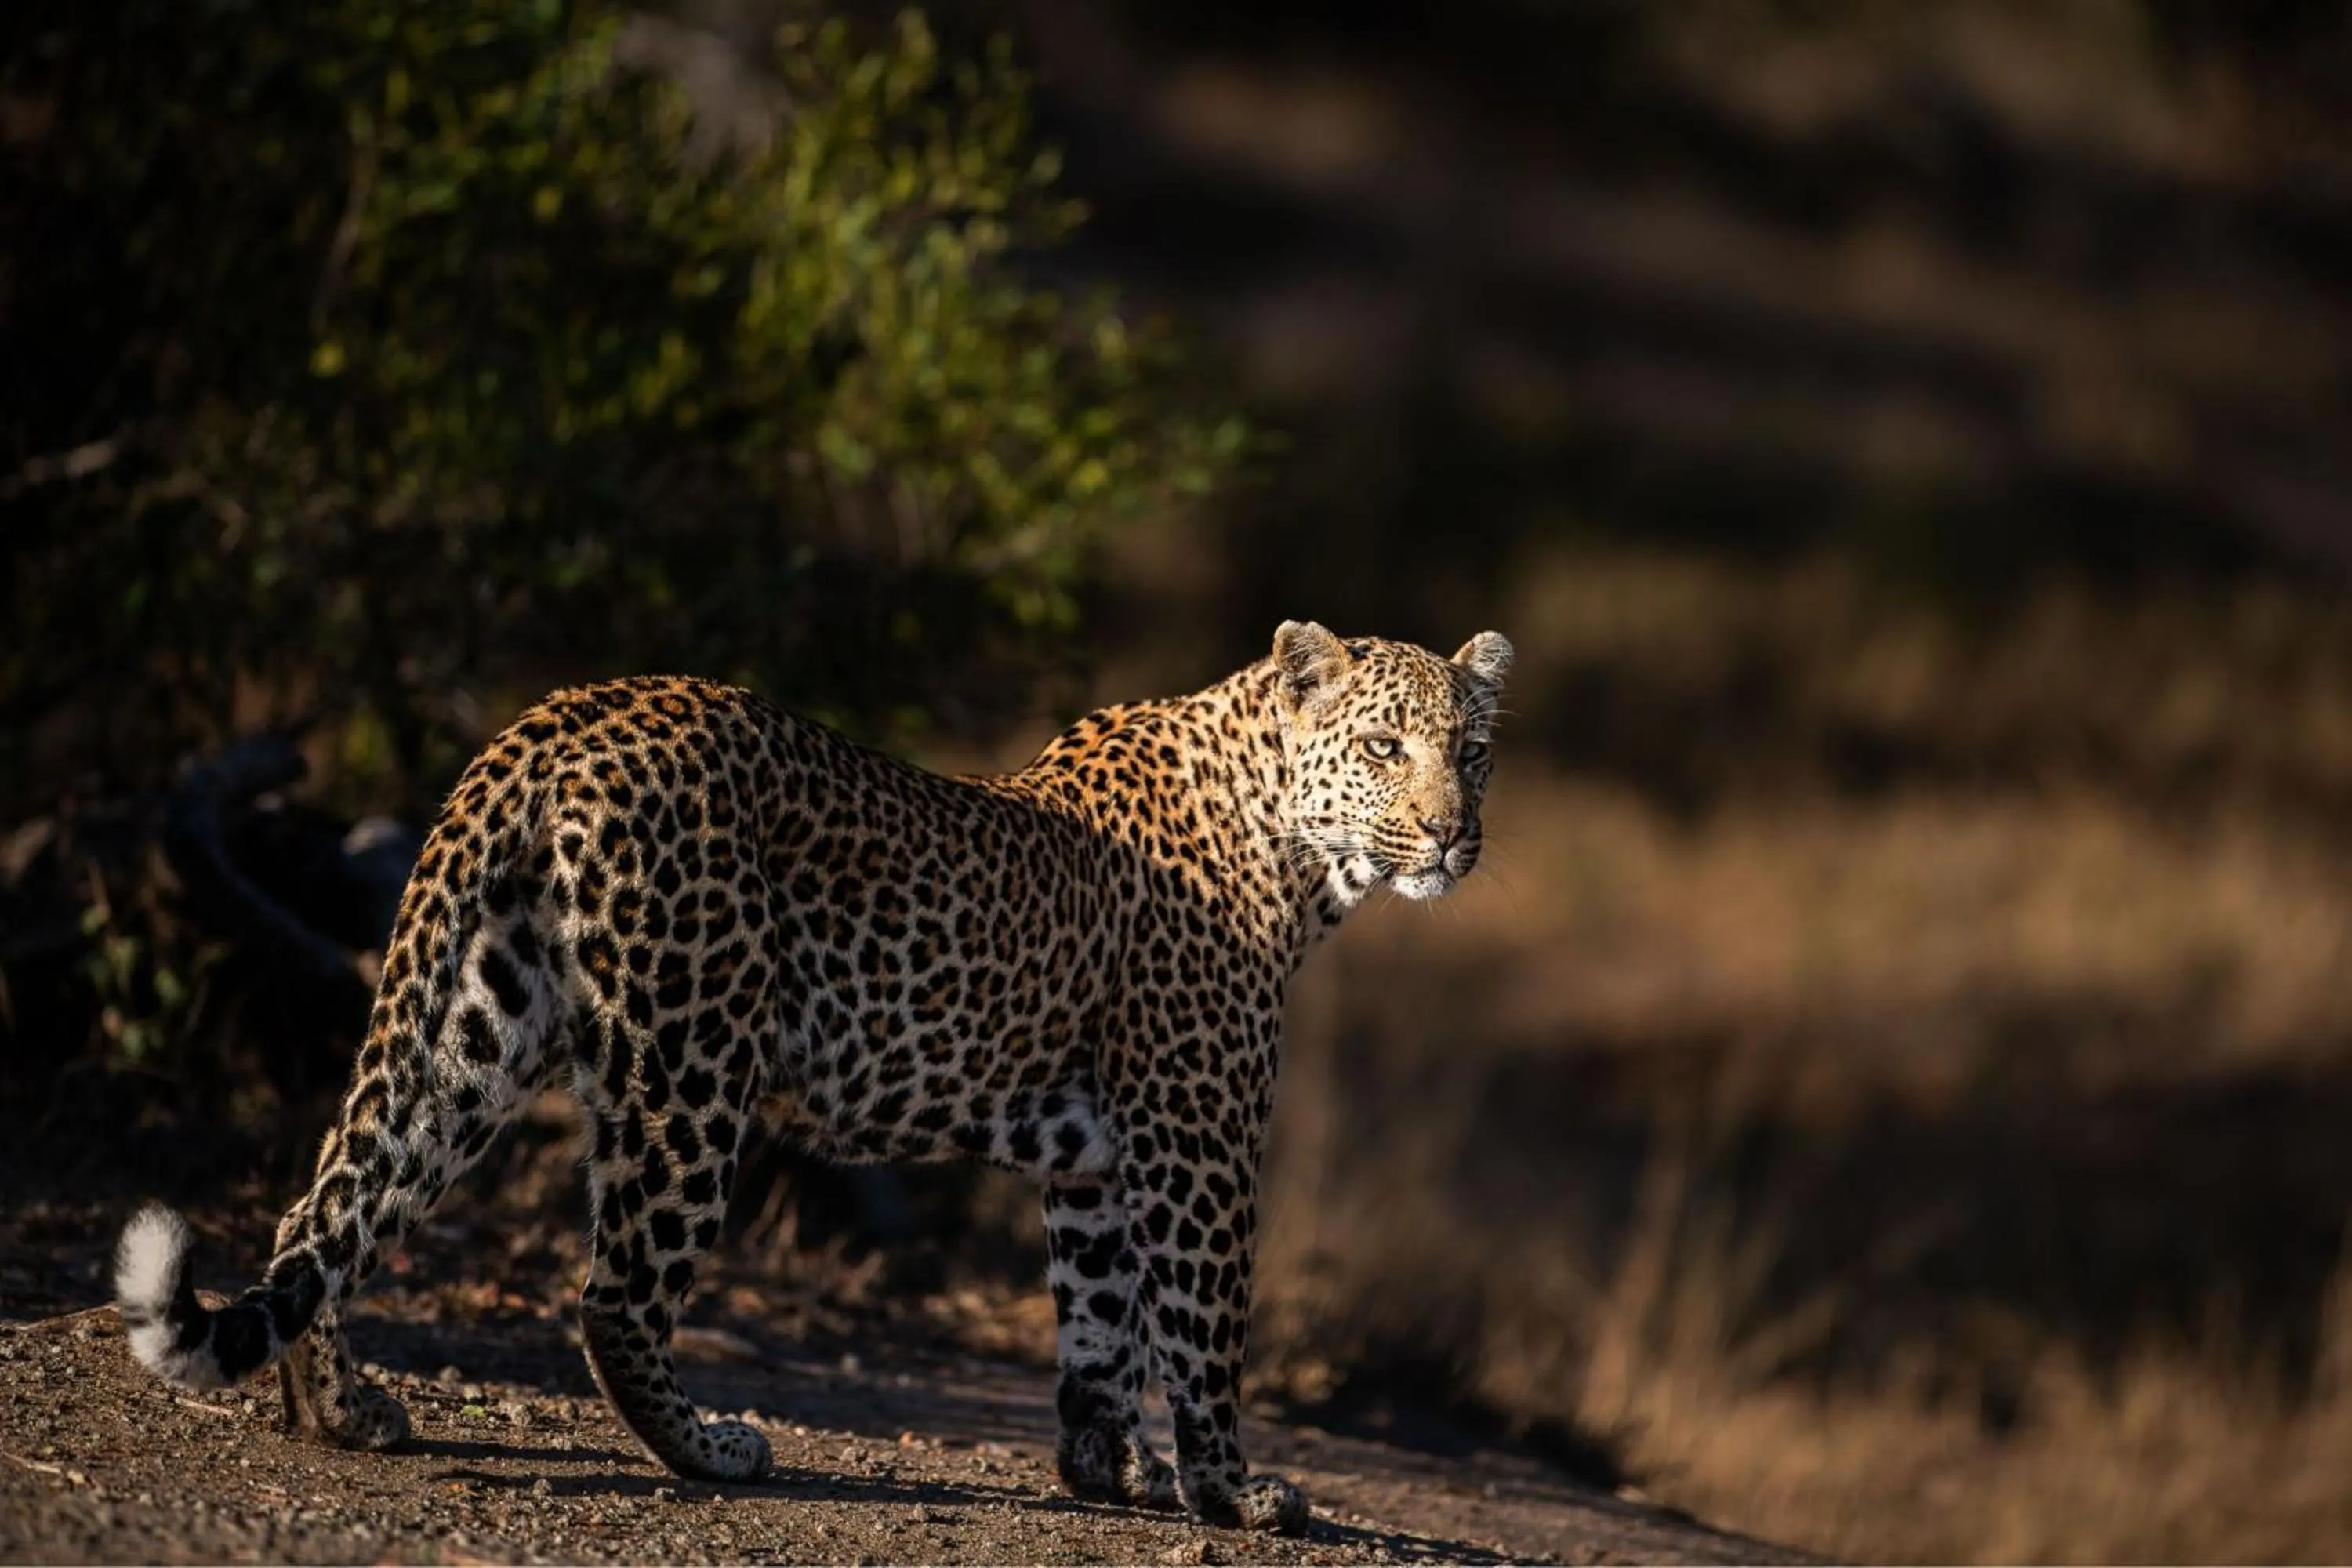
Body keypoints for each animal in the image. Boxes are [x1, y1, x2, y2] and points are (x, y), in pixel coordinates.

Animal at [114, 619, 1513, 1534]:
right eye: (1385, 748)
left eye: (1472, 753)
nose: (1454, 834)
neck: (1301, 855)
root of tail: (561, 714)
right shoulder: (1198, 1139)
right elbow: (1204, 1327)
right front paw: (1232, 1490)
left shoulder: (1102, 1159)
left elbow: (1099, 1321)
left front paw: (1104, 1470)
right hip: (690, 1059)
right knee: (615, 1294)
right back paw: (713, 1451)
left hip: (478, 1025)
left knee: (329, 1209)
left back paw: (341, 1409)